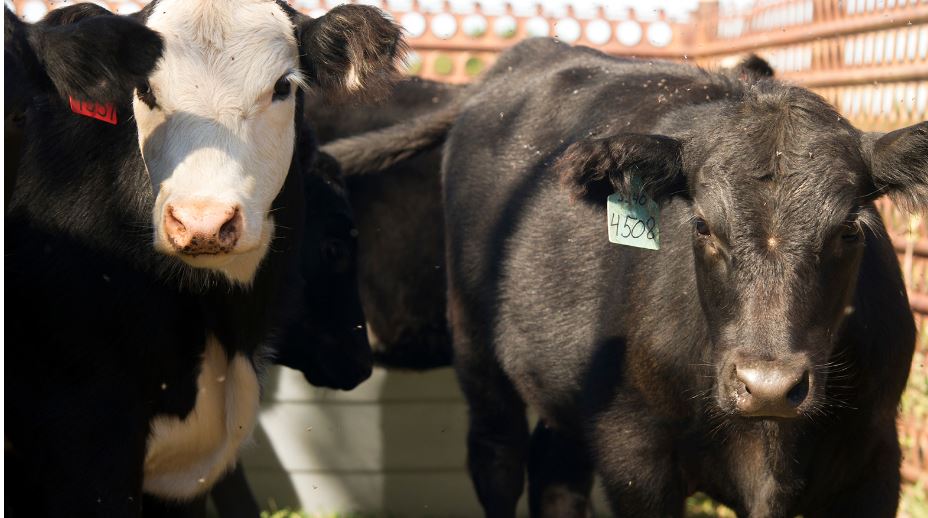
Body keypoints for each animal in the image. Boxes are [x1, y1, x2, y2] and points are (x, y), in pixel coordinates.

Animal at [324, 38, 925, 517]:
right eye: (702, 224)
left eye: (849, 228)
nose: (768, 385)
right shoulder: (633, 453)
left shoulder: (876, 460)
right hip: (476, 349)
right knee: (497, 459)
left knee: (556, 473)